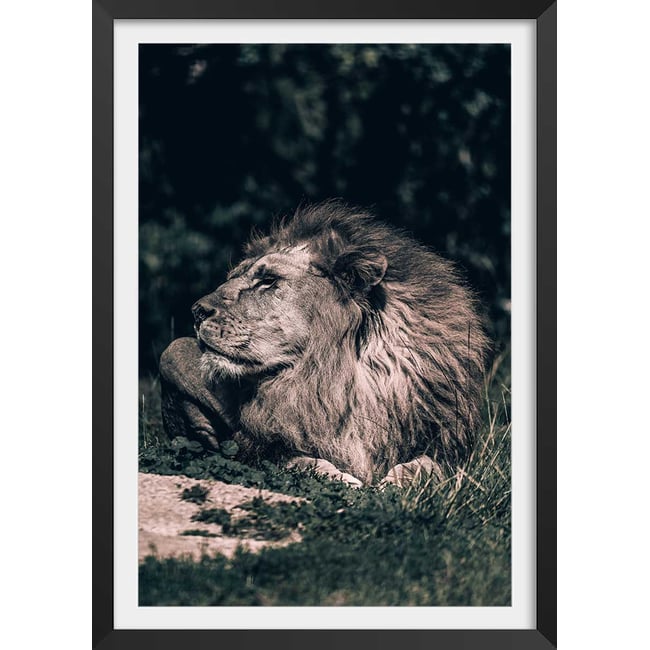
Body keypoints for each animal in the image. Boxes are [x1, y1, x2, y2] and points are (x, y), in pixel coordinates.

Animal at [159, 202, 489, 487]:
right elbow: (303, 462)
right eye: (233, 277)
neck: (337, 378)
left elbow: (427, 466)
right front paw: (348, 482)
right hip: (171, 353)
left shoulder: (448, 445)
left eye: (268, 280)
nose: (196, 311)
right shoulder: (261, 445)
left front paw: (394, 484)